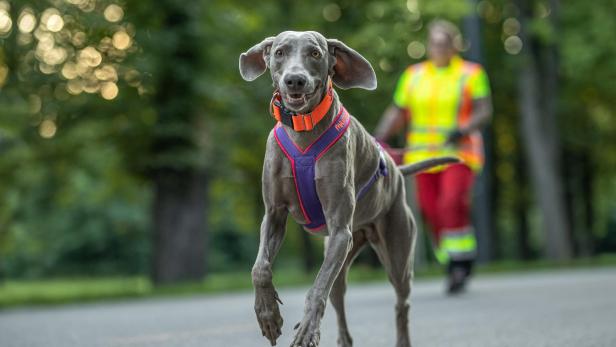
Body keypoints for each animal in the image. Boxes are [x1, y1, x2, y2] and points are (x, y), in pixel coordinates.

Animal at [239, 31, 458, 346]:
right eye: (279, 52)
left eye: (315, 53)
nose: (295, 80)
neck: (303, 128)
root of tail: (396, 171)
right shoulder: (274, 214)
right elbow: (260, 268)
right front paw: (268, 316)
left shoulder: (341, 229)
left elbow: (316, 289)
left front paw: (306, 330)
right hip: (340, 255)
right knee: (338, 295)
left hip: (395, 252)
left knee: (401, 303)